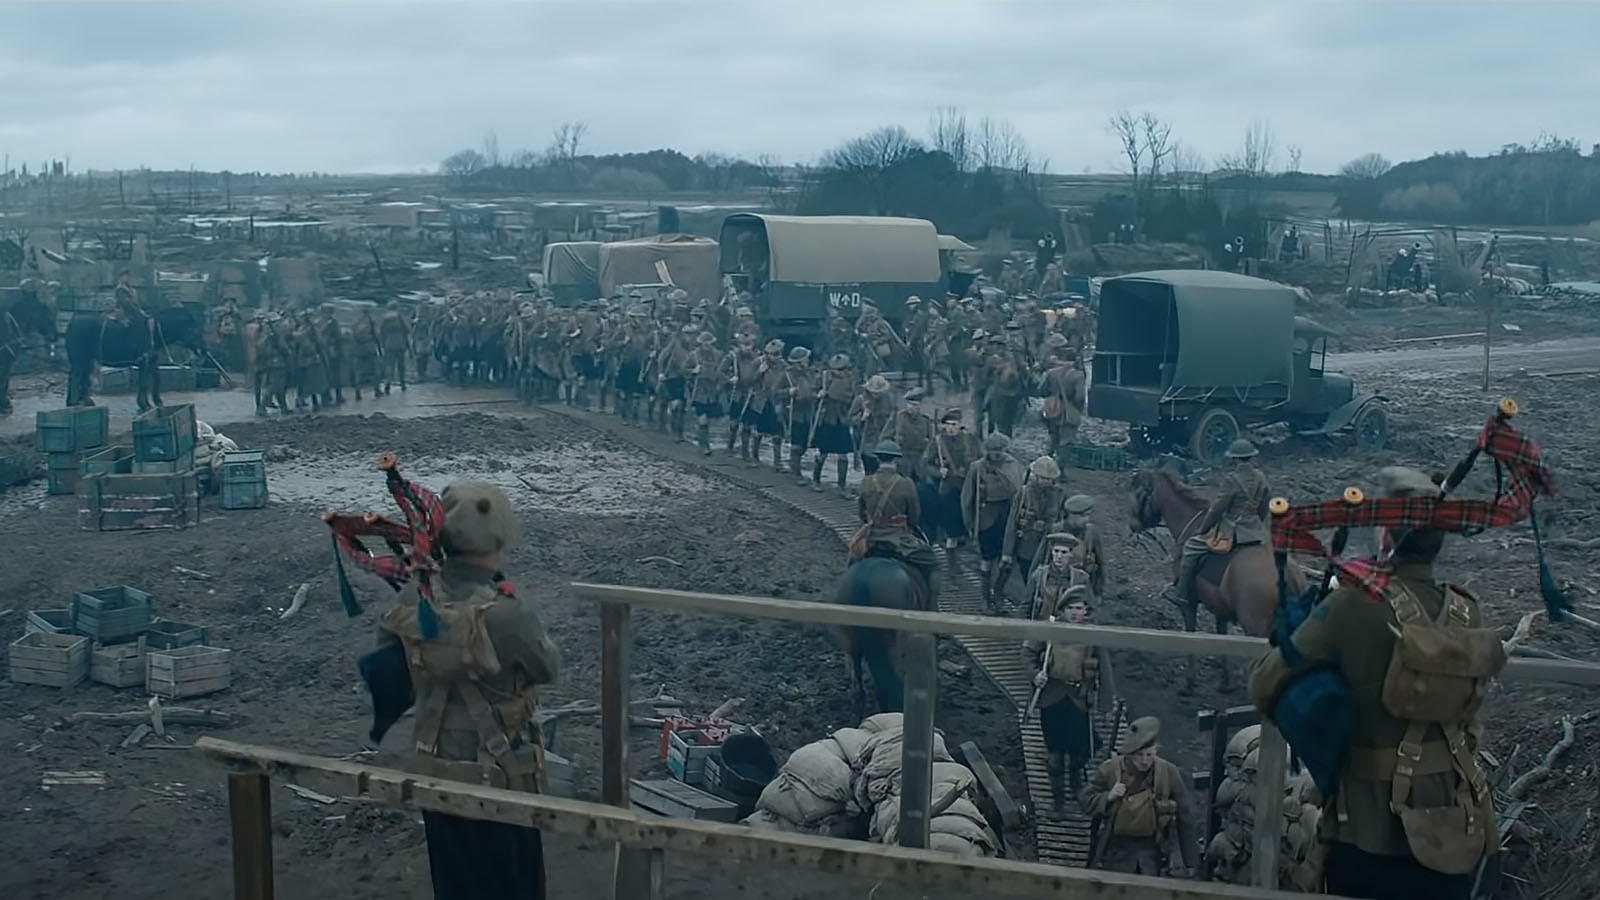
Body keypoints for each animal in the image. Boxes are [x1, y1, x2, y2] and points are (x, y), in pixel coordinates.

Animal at [63, 304, 208, 409]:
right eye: (194, 331)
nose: (204, 350)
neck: (153, 333)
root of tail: (72, 322)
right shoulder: (143, 361)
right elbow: (144, 383)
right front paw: (144, 405)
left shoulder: (152, 362)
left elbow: (156, 381)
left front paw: (157, 402)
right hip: (79, 357)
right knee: (75, 376)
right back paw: (74, 402)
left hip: (88, 359)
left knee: (82, 377)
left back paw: (84, 401)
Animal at [1126, 461, 1299, 685]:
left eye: (1139, 492)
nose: (1133, 525)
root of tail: (1288, 575)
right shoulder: (1220, 610)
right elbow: (1222, 638)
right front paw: (1226, 681)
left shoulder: (1189, 605)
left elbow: (1190, 635)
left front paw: (1190, 682)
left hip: (1256, 630)